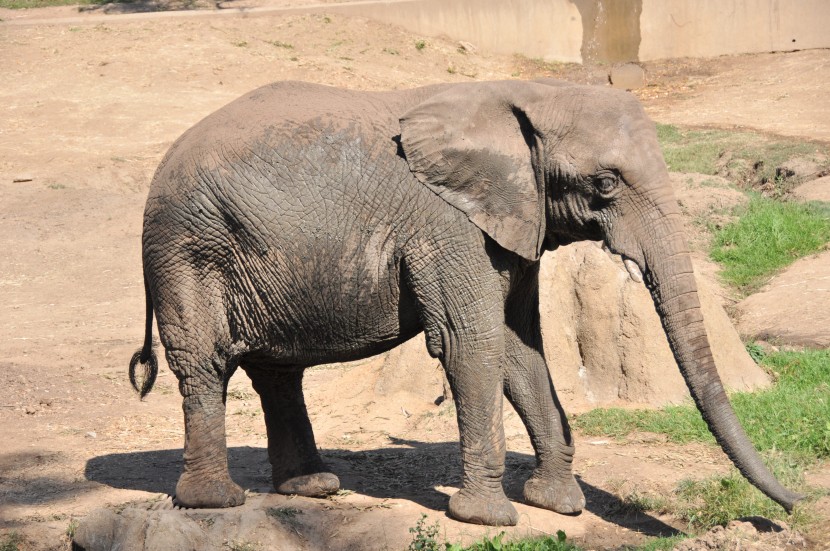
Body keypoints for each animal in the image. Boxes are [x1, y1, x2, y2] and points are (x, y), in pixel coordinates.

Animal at [132, 78, 808, 528]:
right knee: (206, 363)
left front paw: (557, 505)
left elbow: (520, 348)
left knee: (278, 370)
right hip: (188, 246)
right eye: (605, 183)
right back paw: (214, 502)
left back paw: (312, 488)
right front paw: (487, 517)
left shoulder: (515, 221)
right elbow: (471, 343)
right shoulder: (449, 224)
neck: (517, 95)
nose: (793, 508)